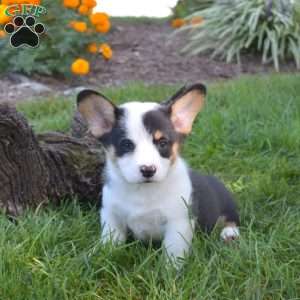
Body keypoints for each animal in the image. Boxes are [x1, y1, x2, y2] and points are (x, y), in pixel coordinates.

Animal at [77, 84, 239, 264]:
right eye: (126, 144)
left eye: (162, 143)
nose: (148, 170)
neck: (143, 191)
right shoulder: (112, 216)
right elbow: (109, 241)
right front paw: (96, 255)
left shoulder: (178, 223)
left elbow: (172, 253)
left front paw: (170, 269)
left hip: (227, 205)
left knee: (231, 220)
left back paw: (229, 234)